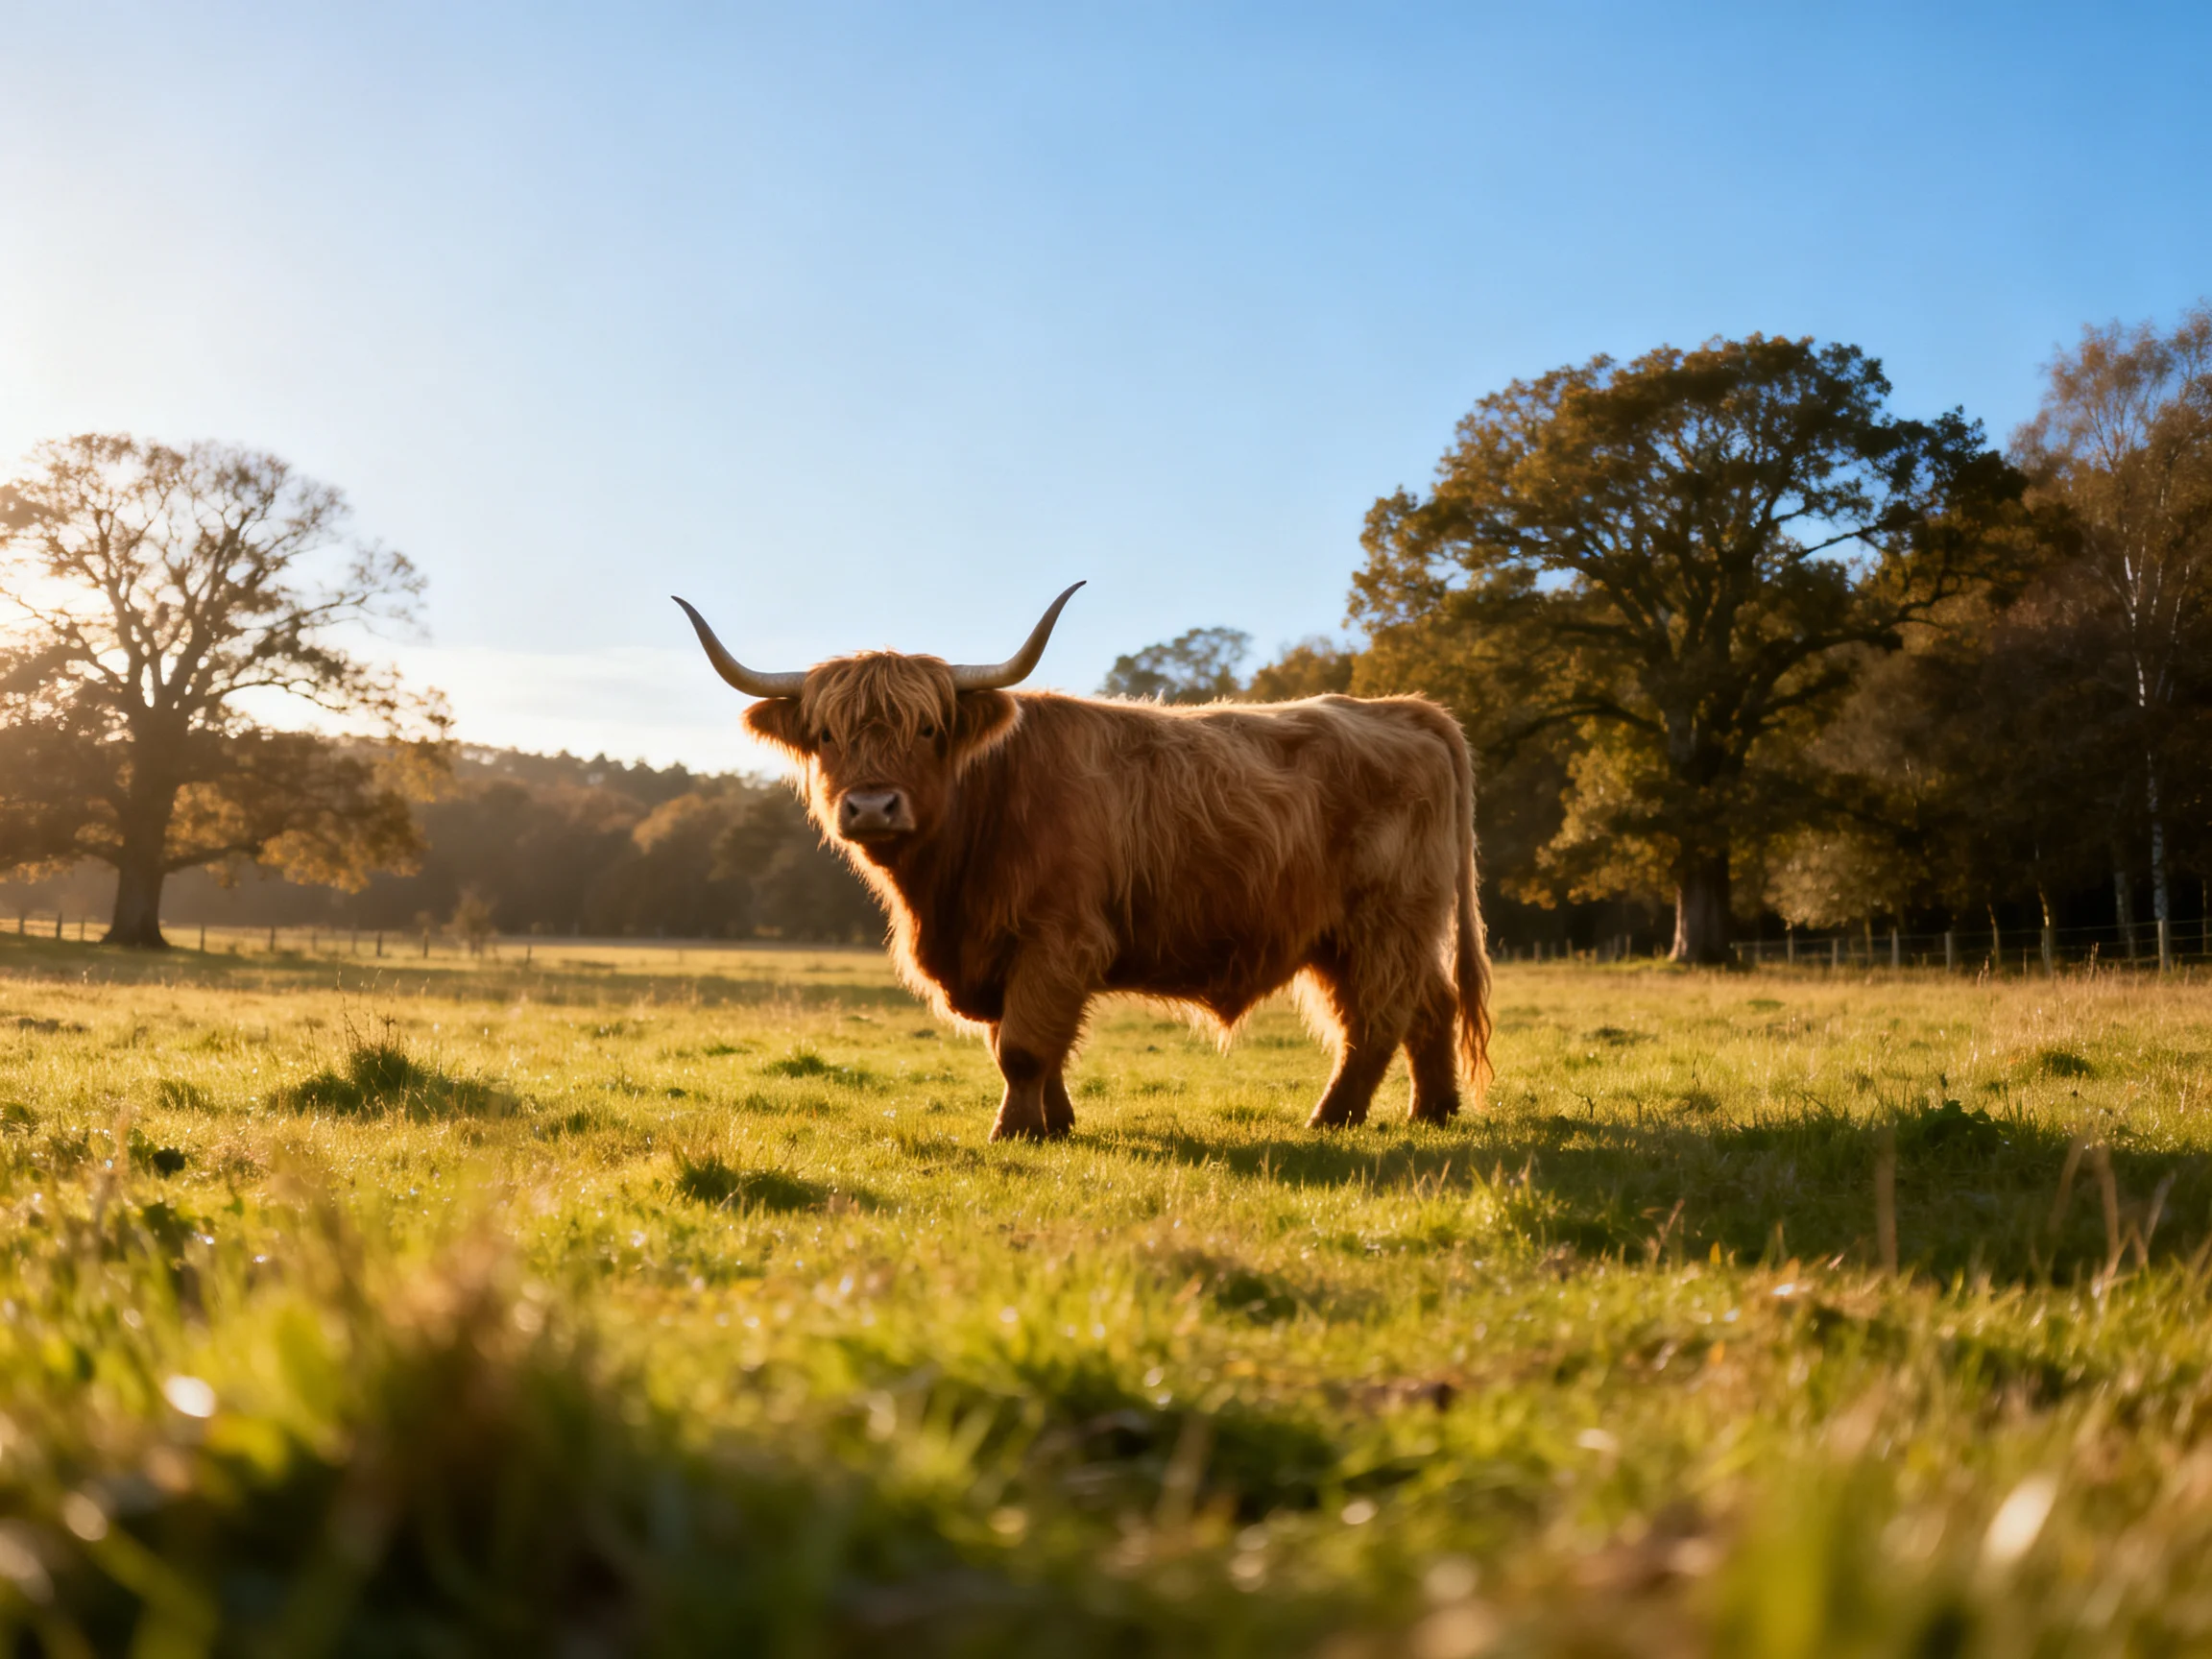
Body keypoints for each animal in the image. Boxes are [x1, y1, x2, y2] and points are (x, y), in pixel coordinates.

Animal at [674, 583, 1490, 1141]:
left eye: (930, 729)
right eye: (827, 735)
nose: (872, 807)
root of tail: (1403, 709)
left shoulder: (1058, 938)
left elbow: (1024, 1047)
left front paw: (1013, 1131)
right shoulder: (1009, 952)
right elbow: (1032, 1044)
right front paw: (1054, 1124)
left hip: (1381, 921)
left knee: (1378, 1019)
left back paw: (1332, 1119)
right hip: (1373, 932)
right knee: (1430, 1006)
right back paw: (1433, 1112)